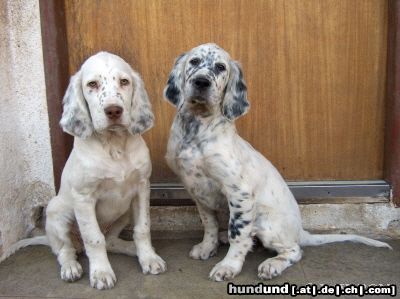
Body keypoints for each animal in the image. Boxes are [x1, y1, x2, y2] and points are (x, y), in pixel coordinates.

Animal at [0, 52, 166, 290]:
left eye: (124, 82)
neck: (114, 145)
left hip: (124, 212)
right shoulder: (84, 198)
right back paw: (71, 267)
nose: (114, 110)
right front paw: (101, 273)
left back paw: (131, 249)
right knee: (66, 250)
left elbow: (142, 228)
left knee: (111, 242)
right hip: (57, 213)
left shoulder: (142, 189)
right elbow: (93, 238)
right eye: (92, 84)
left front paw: (149, 258)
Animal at [163, 43, 390, 282]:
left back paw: (272, 265)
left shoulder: (239, 193)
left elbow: (238, 235)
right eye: (194, 61)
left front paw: (228, 266)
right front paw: (208, 246)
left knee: (293, 250)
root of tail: (300, 231)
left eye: (220, 67)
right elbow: (209, 223)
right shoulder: (198, 191)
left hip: (267, 224)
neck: (197, 128)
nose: (201, 82)